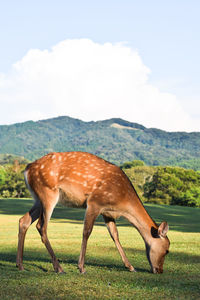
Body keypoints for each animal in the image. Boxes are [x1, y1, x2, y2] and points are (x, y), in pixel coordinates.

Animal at [17, 152, 170, 274]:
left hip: (38, 199)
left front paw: (131, 267)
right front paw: (81, 267)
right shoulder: (94, 202)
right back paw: (59, 268)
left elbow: (115, 235)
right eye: (167, 250)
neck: (123, 204)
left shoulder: (107, 213)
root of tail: (27, 169)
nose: (160, 270)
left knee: (23, 220)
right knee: (41, 226)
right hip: (48, 193)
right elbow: (87, 232)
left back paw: (20, 265)